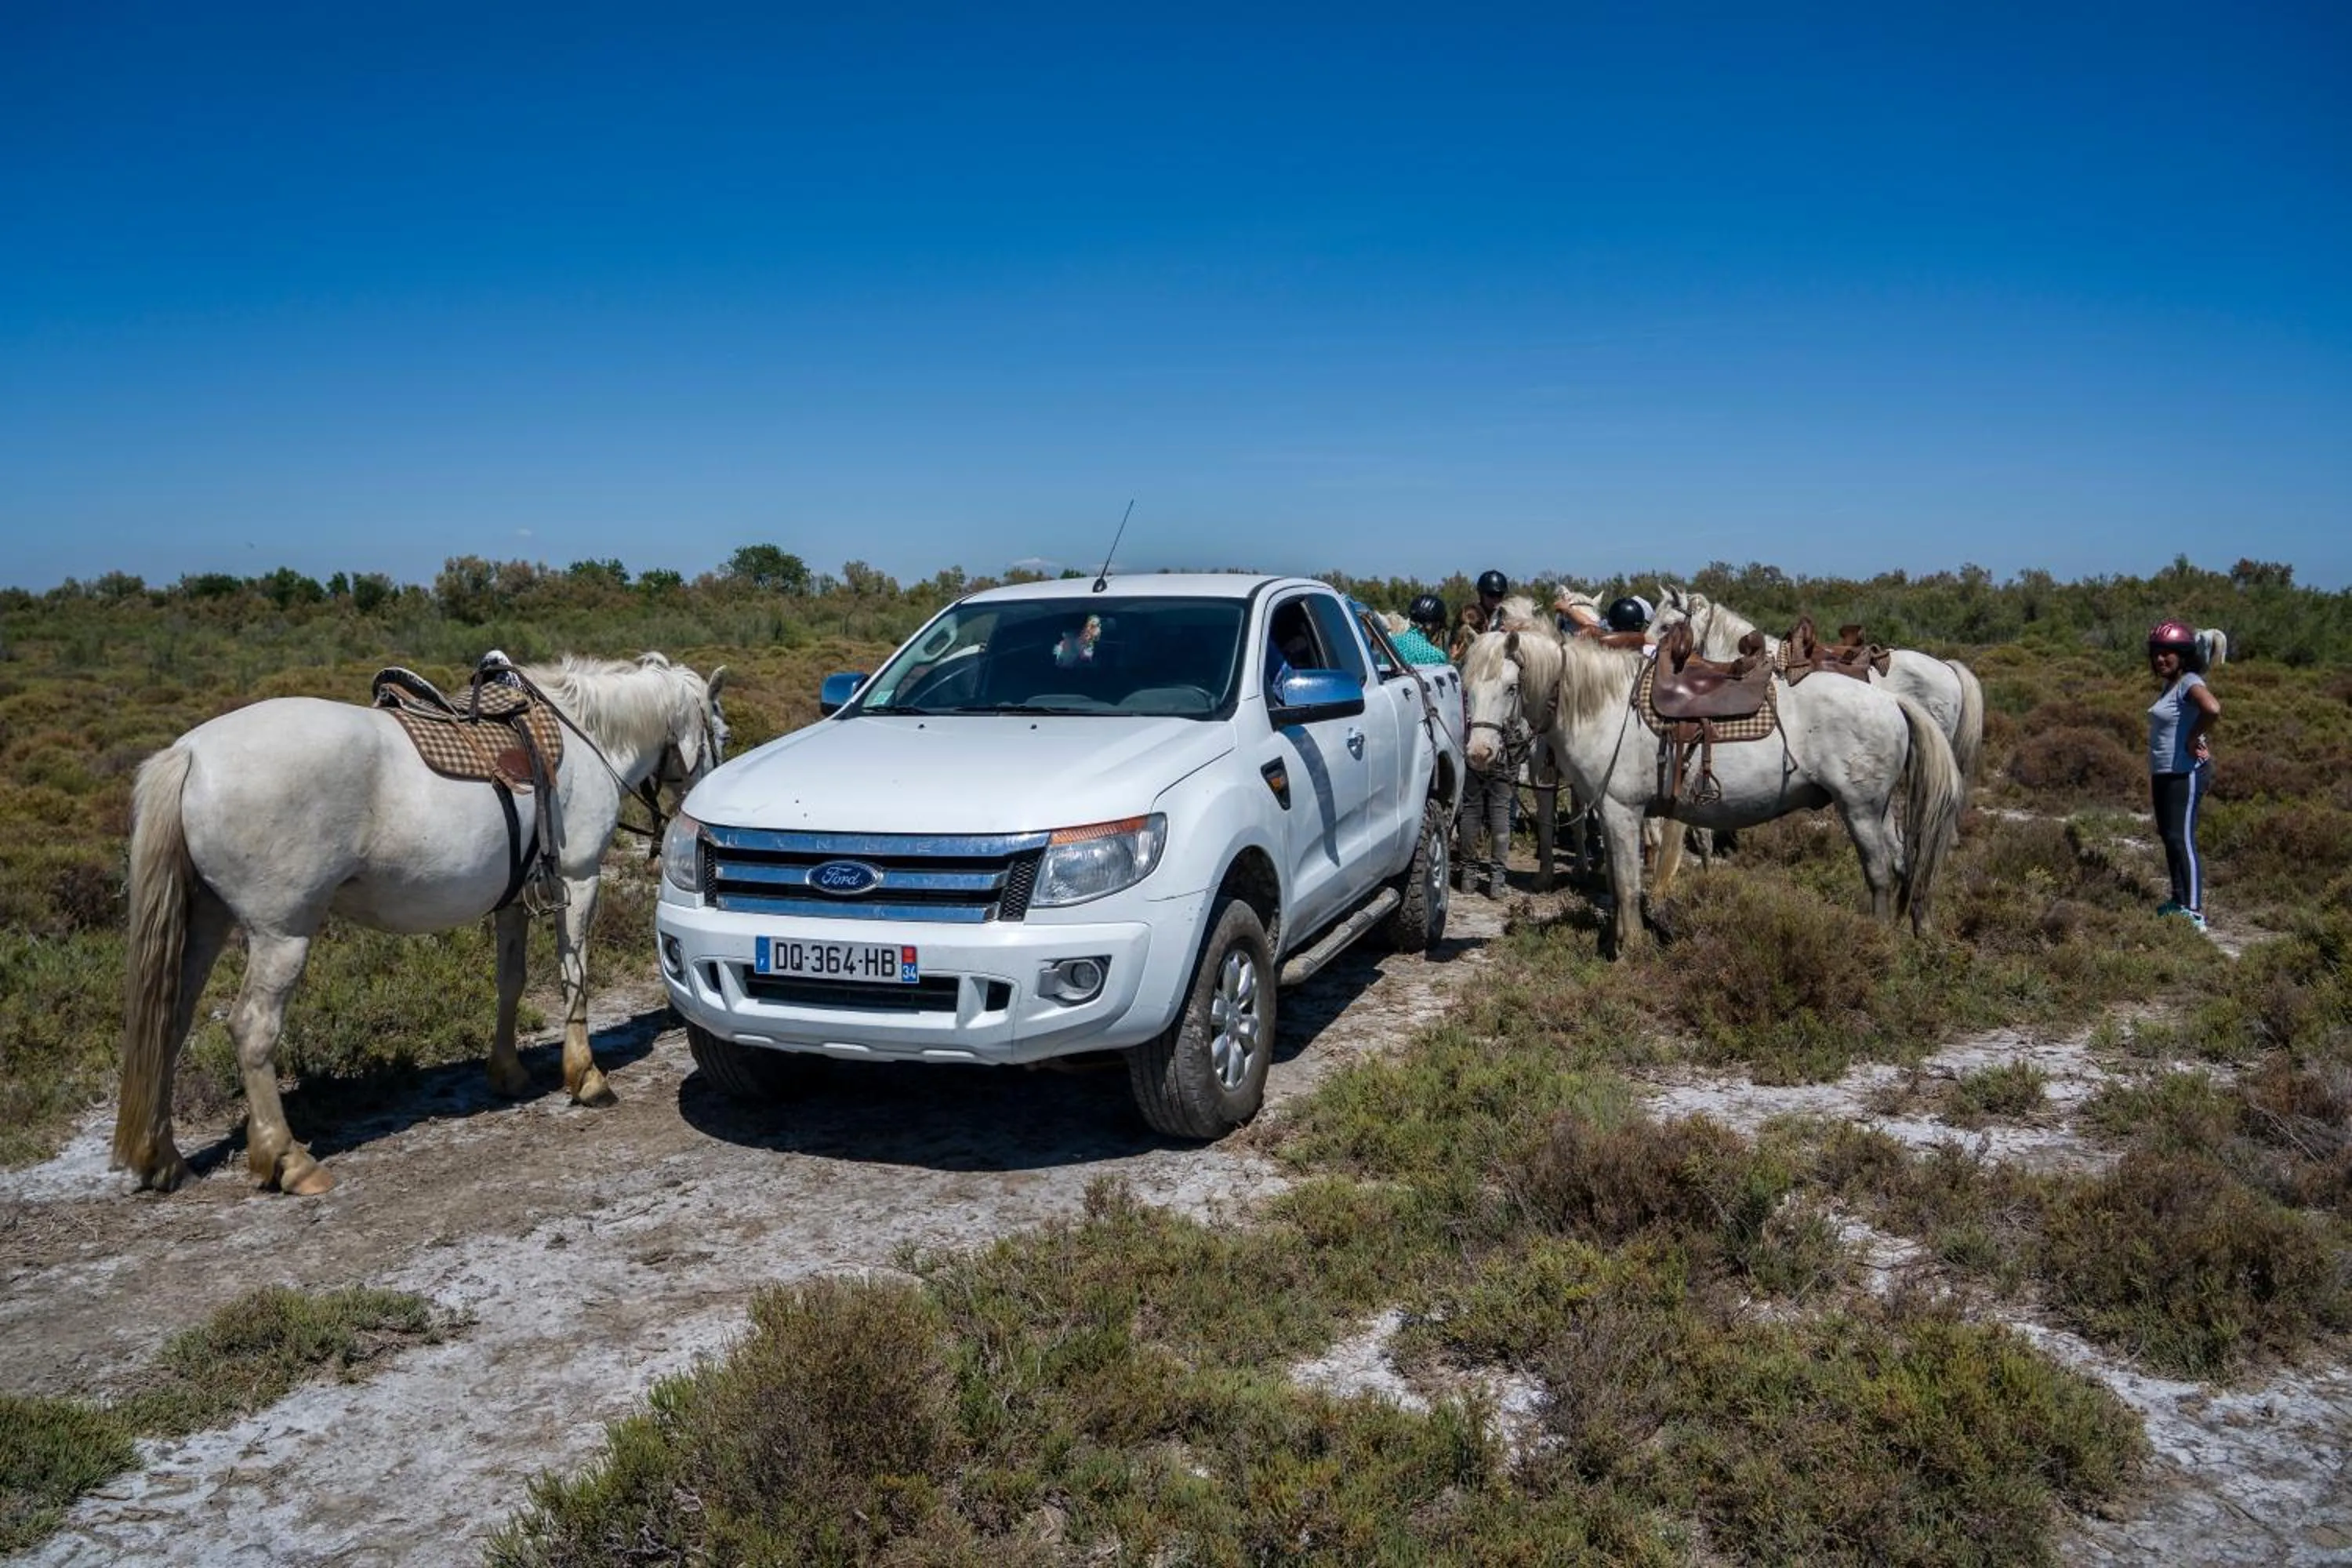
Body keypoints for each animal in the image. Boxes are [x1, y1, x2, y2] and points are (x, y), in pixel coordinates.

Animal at [113, 653, 729, 1196]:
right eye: (720, 731)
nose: (704, 793)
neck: (587, 736)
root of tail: (191, 753)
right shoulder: (578, 881)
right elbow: (573, 977)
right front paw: (586, 1078)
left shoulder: (513, 899)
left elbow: (511, 983)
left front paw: (508, 1074)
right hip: (281, 935)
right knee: (252, 1029)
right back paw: (289, 1161)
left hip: (206, 923)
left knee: (169, 1019)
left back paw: (162, 1159)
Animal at [1460, 627, 1961, 954]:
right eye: (1465, 688)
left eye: (1511, 687)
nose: (1480, 753)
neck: (1604, 706)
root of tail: (1892, 699)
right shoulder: (1611, 813)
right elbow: (1620, 882)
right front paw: (1619, 940)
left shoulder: (1622, 811)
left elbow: (1627, 885)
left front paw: (1631, 949)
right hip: (1881, 810)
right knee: (1906, 863)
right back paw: (1917, 930)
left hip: (1860, 809)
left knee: (1880, 872)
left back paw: (1882, 943)